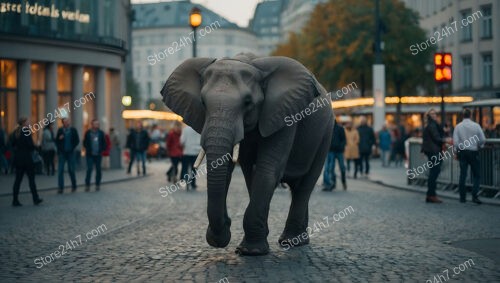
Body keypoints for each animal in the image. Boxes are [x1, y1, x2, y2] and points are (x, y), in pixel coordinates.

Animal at [160, 53, 334, 258]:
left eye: (247, 102)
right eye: (202, 102)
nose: (222, 232)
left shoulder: (284, 115)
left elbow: (268, 170)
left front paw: (251, 251)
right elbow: (239, 169)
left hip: (326, 133)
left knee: (304, 186)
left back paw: (292, 242)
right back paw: (296, 238)